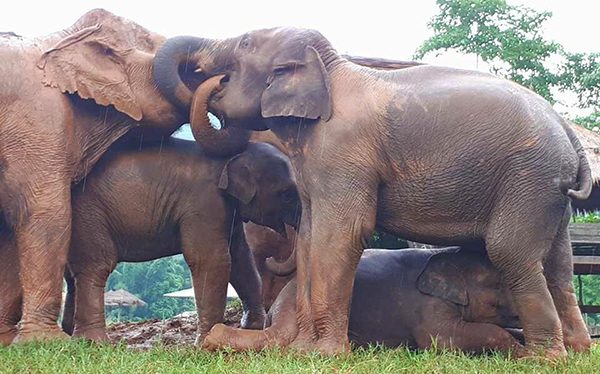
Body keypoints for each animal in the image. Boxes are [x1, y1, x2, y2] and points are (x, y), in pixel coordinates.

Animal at [0, 8, 239, 344]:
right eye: (189, 69)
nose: (222, 79)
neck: (59, 41)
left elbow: (9, 228)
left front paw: (7, 342)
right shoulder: (40, 118)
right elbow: (45, 212)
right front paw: (43, 342)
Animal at [54, 138, 300, 344]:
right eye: (287, 194)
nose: (271, 256)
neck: (228, 157)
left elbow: (241, 257)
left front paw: (253, 327)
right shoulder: (204, 203)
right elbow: (211, 259)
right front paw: (206, 341)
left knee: (72, 275)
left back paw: (70, 333)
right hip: (89, 215)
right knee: (96, 266)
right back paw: (92, 341)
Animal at [202, 248, 520, 354]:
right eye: (498, 285)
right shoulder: (428, 307)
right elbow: (442, 340)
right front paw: (522, 353)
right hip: (293, 306)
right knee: (278, 336)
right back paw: (211, 339)